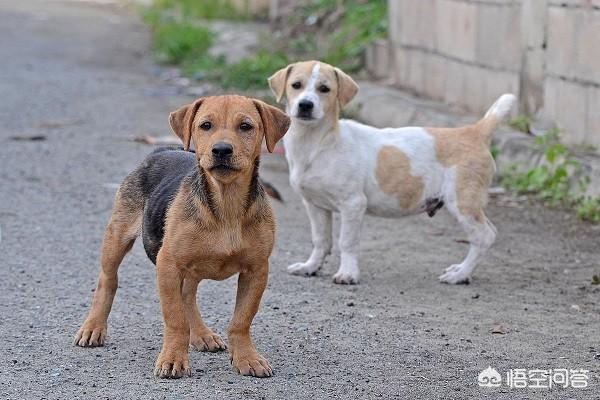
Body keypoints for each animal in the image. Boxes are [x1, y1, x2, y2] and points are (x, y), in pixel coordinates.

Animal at [74, 94, 290, 378]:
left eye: (246, 126)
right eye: (205, 125)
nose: (221, 150)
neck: (226, 204)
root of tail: (162, 150)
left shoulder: (257, 270)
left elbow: (241, 320)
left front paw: (247, 358)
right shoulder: (168, 263)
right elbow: (175, 319)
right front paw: (173, 359)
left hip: (191, 265)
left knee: (187, 294)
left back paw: (201, 335)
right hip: (118, 235)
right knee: (107, 280)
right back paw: (93, 328)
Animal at [268, 59, 516, 284]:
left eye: (324, 89)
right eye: (296, 85)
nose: (305, 105)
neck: (316, 143)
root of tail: (473, 132)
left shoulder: (353, 204)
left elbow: (346, 242)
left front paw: (348, 273)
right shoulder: (315, 205)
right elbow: (321, 240)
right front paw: (310, 267)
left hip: (462, 202)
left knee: (484, 236)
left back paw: (460, 274)